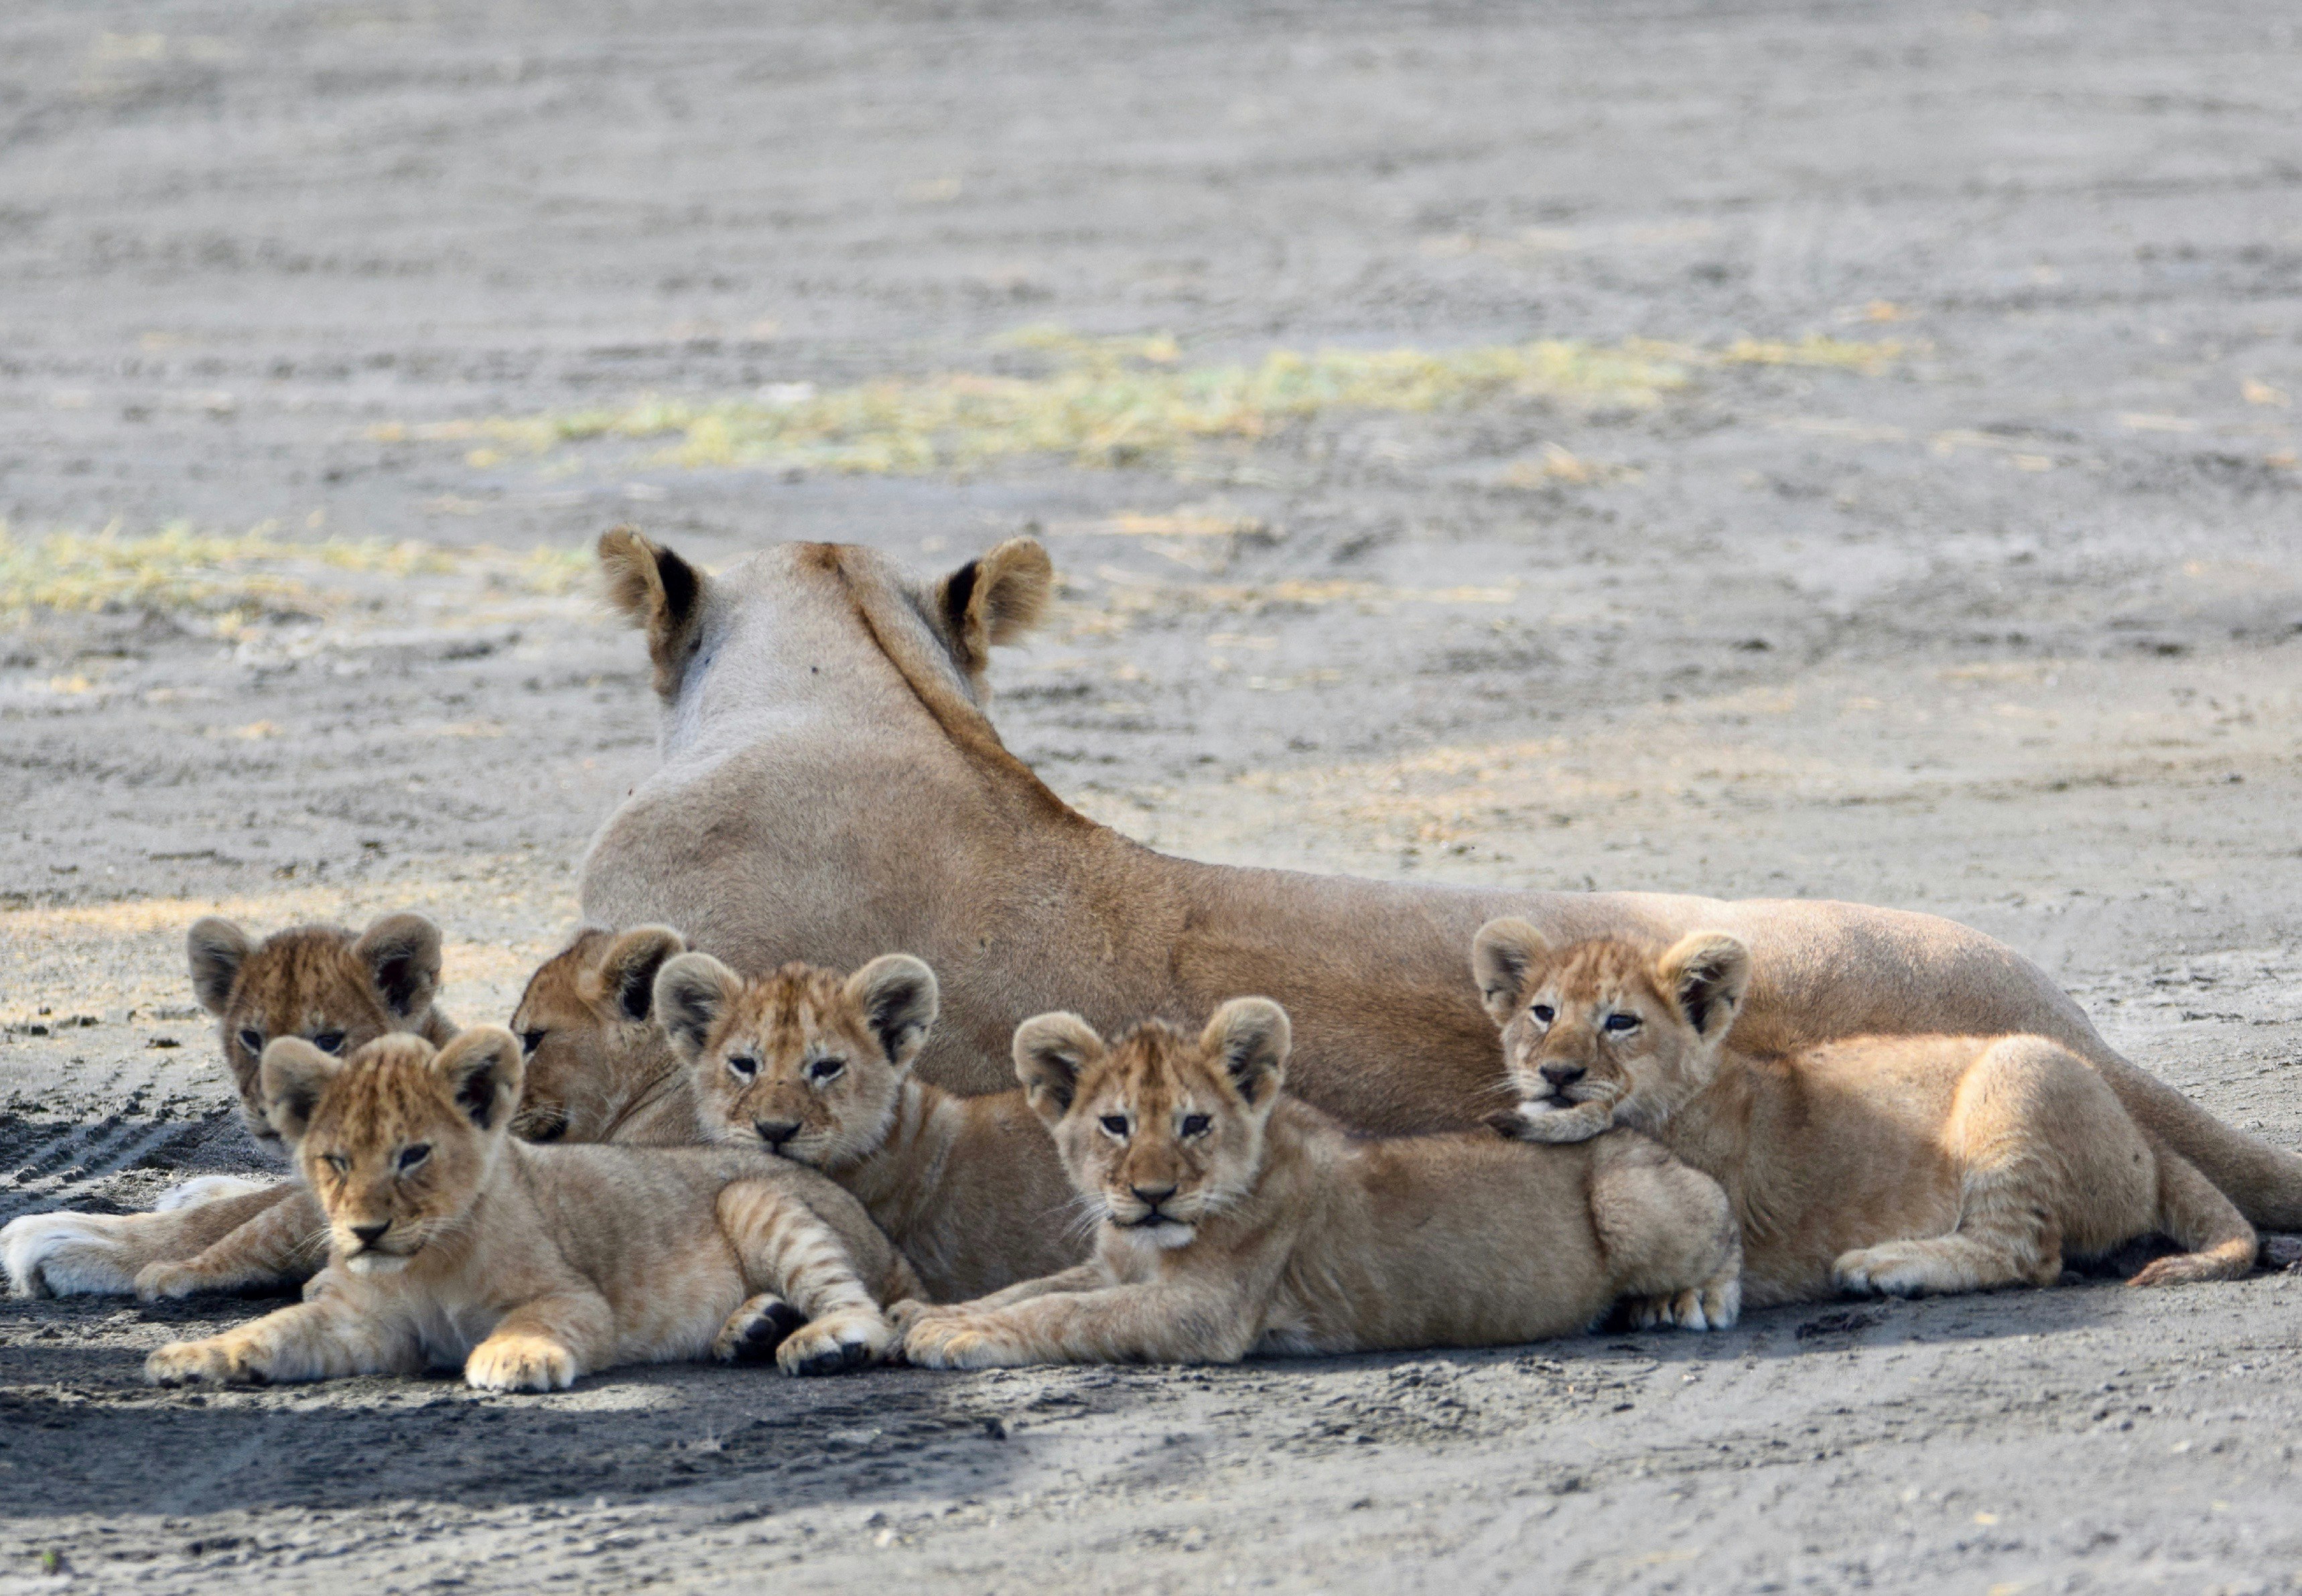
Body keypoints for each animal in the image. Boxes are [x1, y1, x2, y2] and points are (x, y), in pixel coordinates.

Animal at [145, 1027, 920, 1390]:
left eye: (413, 1155)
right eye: (335, 1160)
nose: (365, 1232)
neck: (423, 1263)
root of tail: (884, 1233)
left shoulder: (577, 1298)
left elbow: (537, 1318)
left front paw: (514, 1356)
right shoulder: (364, 1326)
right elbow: (272, 1329)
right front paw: (194, 1356)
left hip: (754, 1196)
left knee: (866, 1311)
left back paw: (819, 1342)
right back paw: (753, 1326)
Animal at [898, 997, 1741, 1368]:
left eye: (1195, 1124)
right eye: (1114, 1125)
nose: (1152, 1195)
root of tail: (1633, 1133)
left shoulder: (1203, 1313)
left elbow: (1070, 1315)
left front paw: (954, 1335)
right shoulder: (1112, 1266)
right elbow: (1032, 1289)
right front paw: (926, 1312)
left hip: (1633, 1202)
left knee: (1727, 1229)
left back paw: (1689, 1301)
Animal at [1470, 919, 2261, 1308]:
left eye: (1621, 1022)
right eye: (1543, 1013)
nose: (1557, 1074)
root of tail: (2147, 1141)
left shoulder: (1717, 1195)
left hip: (2019, 1074)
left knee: (2026, 1256)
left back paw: (1885, 1266)